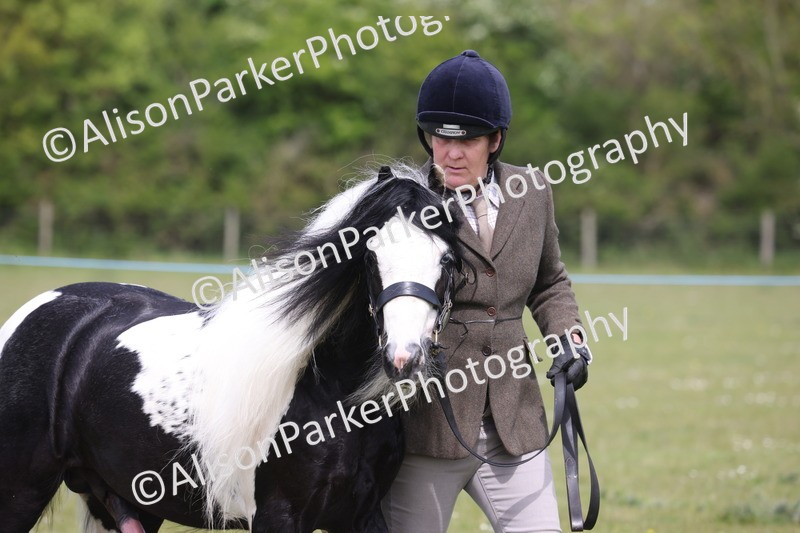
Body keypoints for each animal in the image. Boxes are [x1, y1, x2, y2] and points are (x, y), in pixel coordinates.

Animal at [0, 164, 463, 533]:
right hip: (21, 492)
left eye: (446, 259)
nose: (404, 356)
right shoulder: (278, 518)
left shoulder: (362, 516)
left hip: (124, 500)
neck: (331, 394)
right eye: (369, 256)